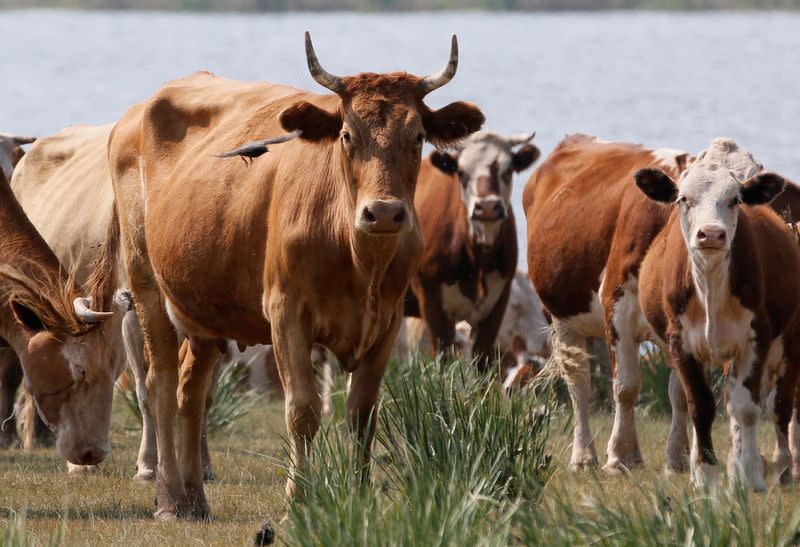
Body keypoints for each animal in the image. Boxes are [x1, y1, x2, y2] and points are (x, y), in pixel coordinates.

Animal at [104, 31, 484, 528]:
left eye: (418, 135)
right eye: (346, 135)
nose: (383, 212)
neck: (359, 261)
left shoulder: (388, 321)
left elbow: (363, 414)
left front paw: (359, 497)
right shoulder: (286, 314)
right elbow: (302, 409)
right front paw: (297, 500)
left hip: (203, 308)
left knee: (192, 391)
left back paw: (194, 499)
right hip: (147, 286)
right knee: (161, 384)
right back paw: (169, 499)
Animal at [404, 131, 540, 370]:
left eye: (507, 170)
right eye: (462, 172)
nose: (487, 207)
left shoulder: (498, 300)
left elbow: (481, 359)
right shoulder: (430, 300)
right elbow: (444, 358)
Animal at [520, 135, 692, 474]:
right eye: (685, 199)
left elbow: (679, 391)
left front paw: (677, 460)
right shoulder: (617, 306)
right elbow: (626, 387)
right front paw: (622, 457)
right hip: (562, 317)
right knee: (579, 384)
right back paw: (584, 456)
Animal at [636, 139, 800, 490]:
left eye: (735, 198)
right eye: (683, 198)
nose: (711, 234)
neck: (711, 286)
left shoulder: (756, 340)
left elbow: (747, 407)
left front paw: (750, 474)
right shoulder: (680, 344)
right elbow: (700, 406)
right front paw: (705, 474)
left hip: (790, 344)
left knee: (779, 406)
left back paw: (781, 466)